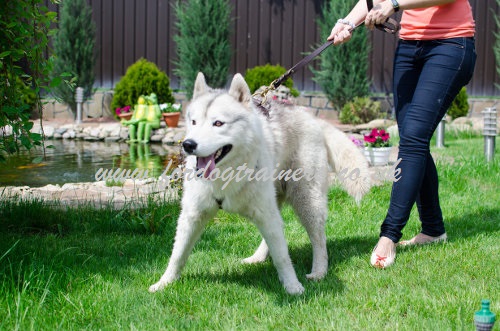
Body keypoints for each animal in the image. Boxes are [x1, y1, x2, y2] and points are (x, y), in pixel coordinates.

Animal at [148, 73, 372, 296]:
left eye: (218, 123)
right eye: (193, 122)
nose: (188, 144)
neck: (226, 174)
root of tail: (311, 117)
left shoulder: (267, 214)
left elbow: (282, 256)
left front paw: (292, 286)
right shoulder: (192, 215)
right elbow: (178, 254)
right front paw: (165, 282)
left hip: (306, 201)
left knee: (318, 240)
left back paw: (319, 271)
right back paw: (258, 257)